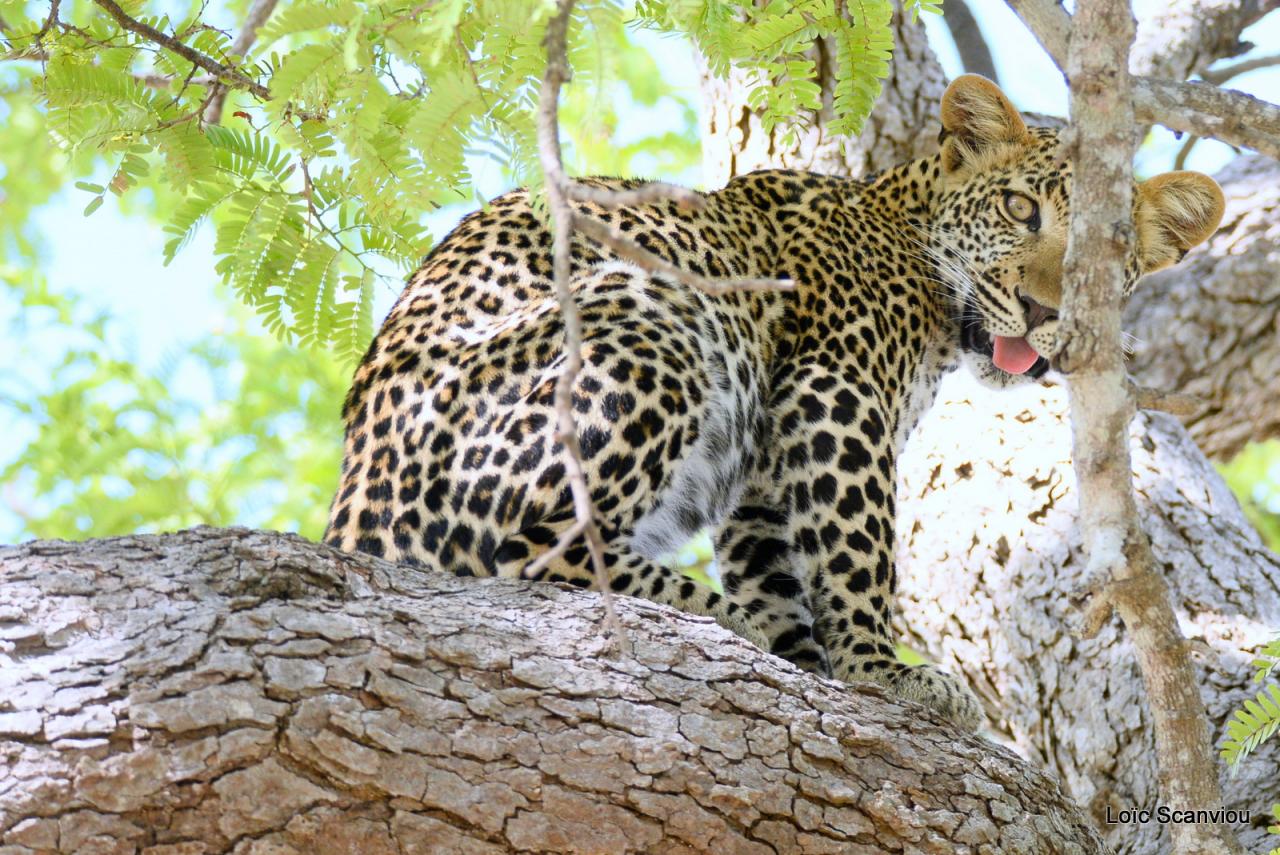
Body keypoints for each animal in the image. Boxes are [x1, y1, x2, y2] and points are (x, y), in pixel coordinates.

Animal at [320, 75, 1218, 727]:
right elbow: (858, 554)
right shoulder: (834, 392)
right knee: (536, 546)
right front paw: (881, 670)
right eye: (1018, 209)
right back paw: (714, 617)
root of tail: (353, 505)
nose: (1041, 310)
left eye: (1109, 264)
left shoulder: (761, 468)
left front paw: (811, 661)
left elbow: (776, 568)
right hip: (655, 315)